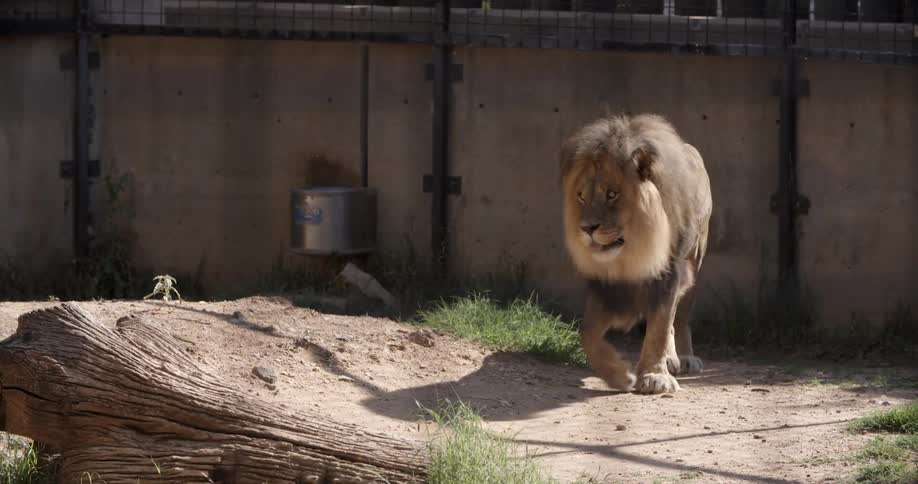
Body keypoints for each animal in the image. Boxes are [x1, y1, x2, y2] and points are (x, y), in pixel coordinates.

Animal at [559, 113, 712, 395]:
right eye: (581, 197)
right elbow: (587, 333)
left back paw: (685, 357)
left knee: (681, 315)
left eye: (612, 194)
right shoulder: (607, 288)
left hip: (695, 260)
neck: (630, 256)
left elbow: (660, 328)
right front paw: (619, 375)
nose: (587, 229)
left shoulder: (668, 277)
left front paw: (654, 377)